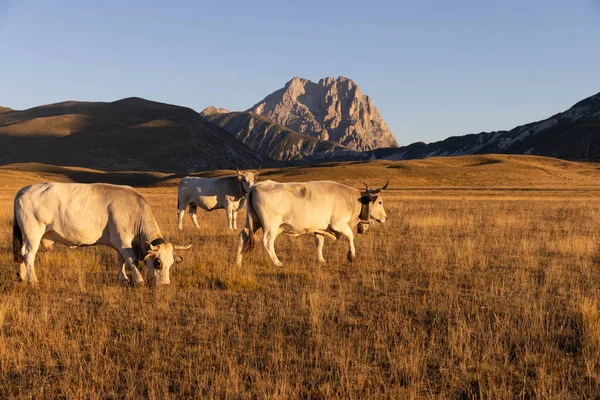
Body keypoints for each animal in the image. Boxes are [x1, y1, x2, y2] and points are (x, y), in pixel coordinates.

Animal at [12, 183, 192, 286]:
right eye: (158, 263)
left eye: (171, 263)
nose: (166, 284)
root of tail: (23, 191)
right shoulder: (122, 240)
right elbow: (131, 259)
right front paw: (139, 279)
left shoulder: (120, 243)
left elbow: (120, 260)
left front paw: (123, 277)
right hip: (32, 233)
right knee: (28, 255)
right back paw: (33, 280)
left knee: (22, 254)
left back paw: (22, 276)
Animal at [237, 180, 392, 268]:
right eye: (380, 202)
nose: (385, 218)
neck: (352, 200)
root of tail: (257, 185)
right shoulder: (338, 224)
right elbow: (350, 236)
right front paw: (351, 255)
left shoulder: (320, 229)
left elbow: (319, 243)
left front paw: (321, 259)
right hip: (270, 225)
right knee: (267, 242)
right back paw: (278, 262)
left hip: (253, 222)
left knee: (243, 236)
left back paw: (238, 260)